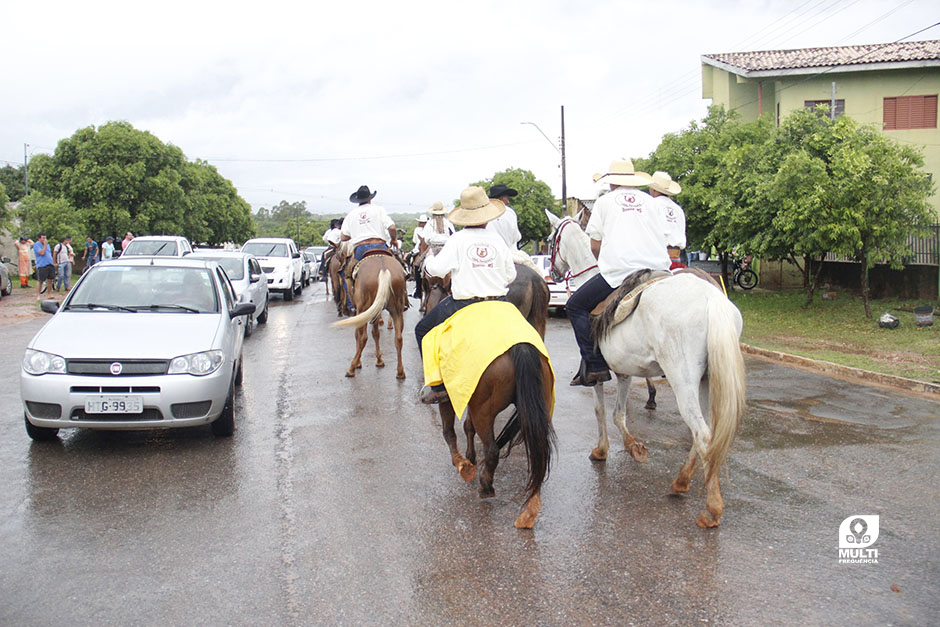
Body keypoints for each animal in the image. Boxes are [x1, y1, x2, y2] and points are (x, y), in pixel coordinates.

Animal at [548, 212, 744, 528]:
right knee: (705, 433)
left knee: (702, 434)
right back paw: (681, 481)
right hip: (705, 380)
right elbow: (618, 413)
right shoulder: (625, 371)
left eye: (551, 238)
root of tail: (712, 299)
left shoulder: (598, 374)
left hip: (683, 382)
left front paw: (604, 450)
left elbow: (601, 410)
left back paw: (712, 509)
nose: (553, 274)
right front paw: (631, 447)